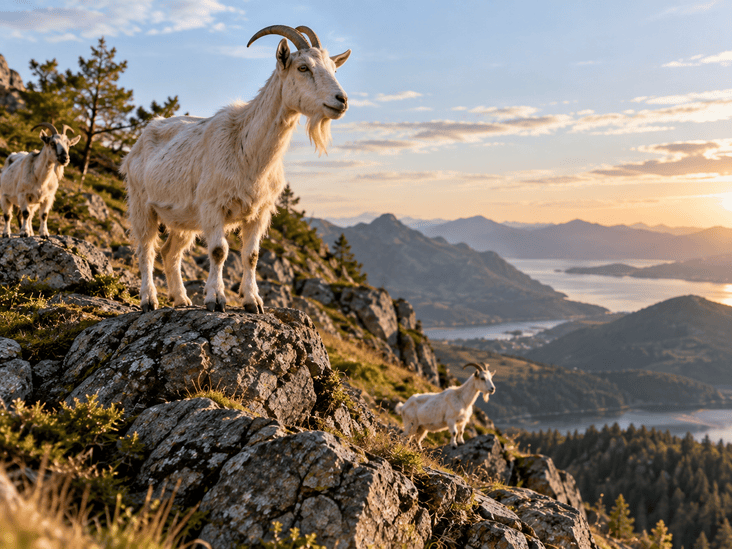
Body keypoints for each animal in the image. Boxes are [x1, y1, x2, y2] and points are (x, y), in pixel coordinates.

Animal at [121, 24, 351, 313]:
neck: (248, 151)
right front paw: (216, 299)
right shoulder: (212, 206)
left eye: (334, 69)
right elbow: (219, 251)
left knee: (170, 252)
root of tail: (140, 140)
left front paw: (253, 301)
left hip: (183, 217)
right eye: (303, 67)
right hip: (142, 205)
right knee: (146, 249)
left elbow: (251, 255)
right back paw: (149, 299)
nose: (341, 100)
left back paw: (181, 298)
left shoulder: (259, 212)